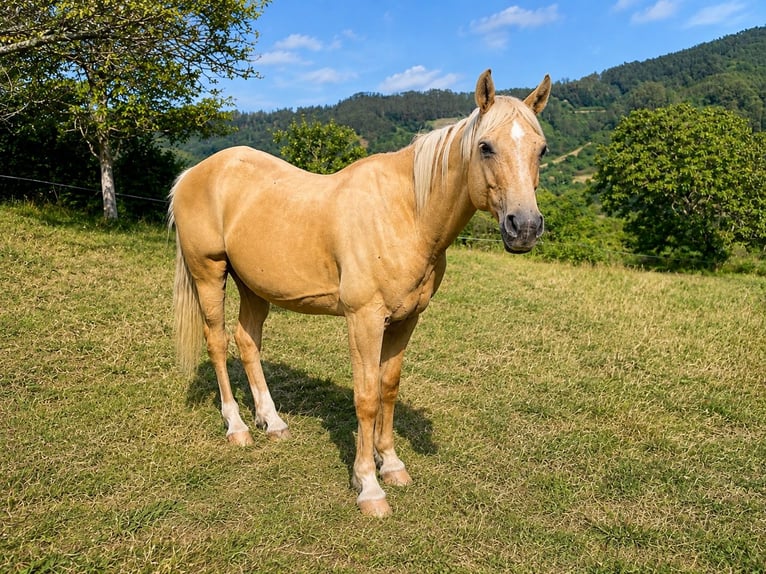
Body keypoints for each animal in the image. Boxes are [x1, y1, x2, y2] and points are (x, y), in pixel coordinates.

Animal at [169, 69, 551, 517]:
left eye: (541, 149)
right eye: (485, 146)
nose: (525, 227)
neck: (406, 212)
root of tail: (193, 173)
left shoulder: (405, 320)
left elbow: (388, 388)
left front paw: (393, 465)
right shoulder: (364, 320)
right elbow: (366, 397)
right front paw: (368, 485)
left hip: (253, 287)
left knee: (247, 342)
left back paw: (273, 422)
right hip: (209, 274)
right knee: (216, 341)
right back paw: (237, 427)